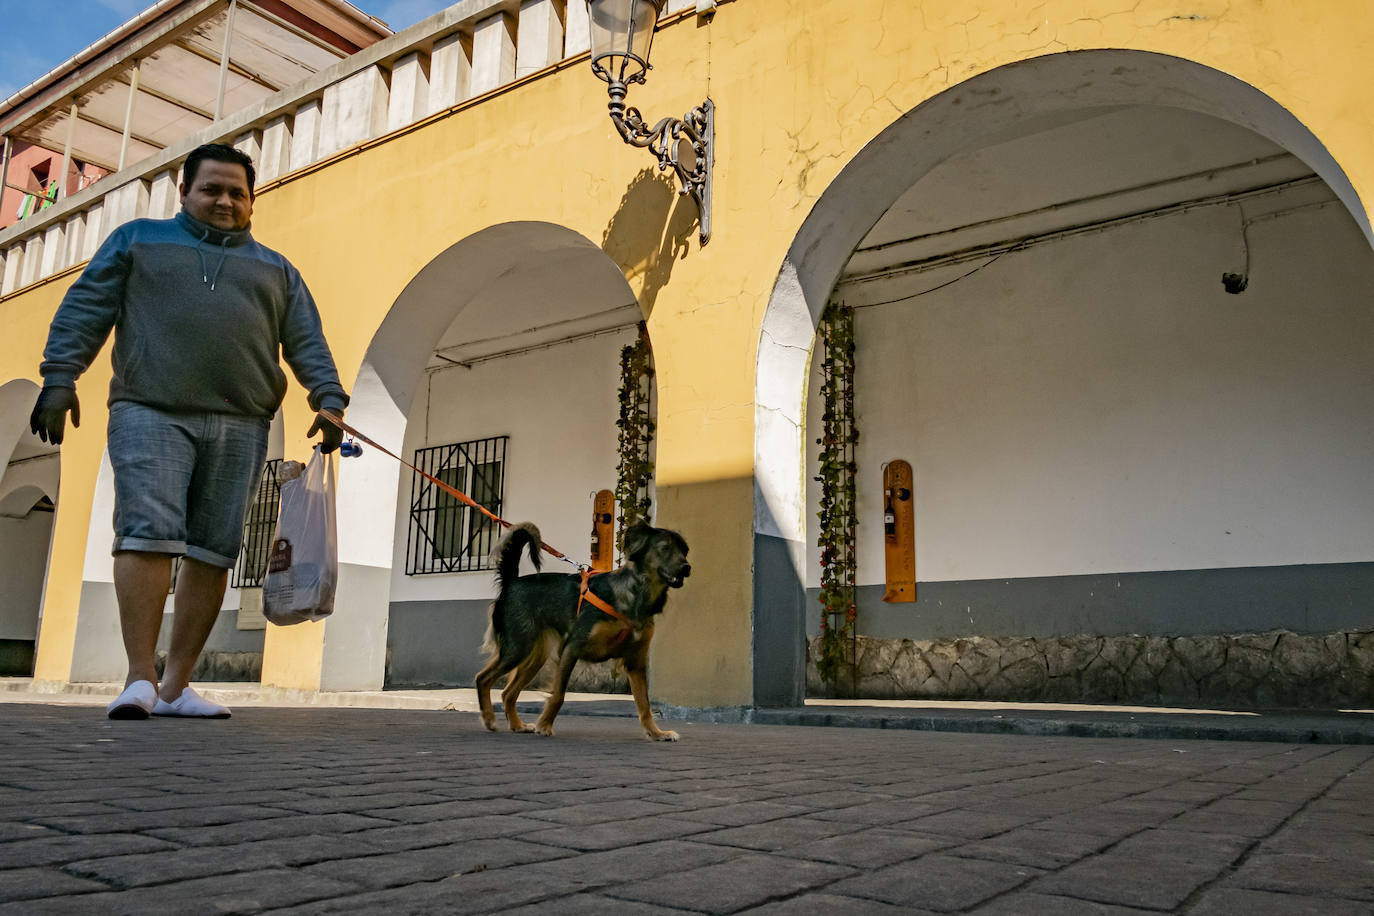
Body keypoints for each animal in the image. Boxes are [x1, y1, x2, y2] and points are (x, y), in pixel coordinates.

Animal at [475, 521, 687, 736]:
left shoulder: (635, 662)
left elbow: (644, 703)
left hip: (534, 656)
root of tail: (512, 582)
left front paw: (656, 733)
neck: (633, 595)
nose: (687, 567)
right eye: (665, 548)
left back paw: (517, 725)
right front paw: (545, 725)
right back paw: (489, 719)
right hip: (518, 648)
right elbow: (559, 694)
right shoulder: (572, 648)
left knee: (508, 693)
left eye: (684, 551)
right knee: (482, 678)